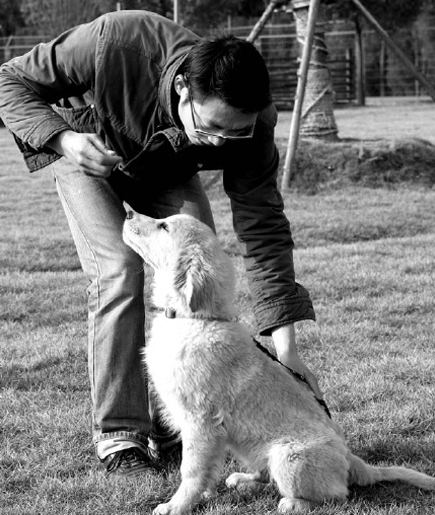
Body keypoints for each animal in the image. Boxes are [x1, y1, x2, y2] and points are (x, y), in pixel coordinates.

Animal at [122, 211, 435, 515]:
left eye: (163, 226)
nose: (127, 213)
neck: (196, 320)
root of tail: (353, 460)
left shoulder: (200, 420)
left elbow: (192, 469)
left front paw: (176, 506)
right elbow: (206, 469)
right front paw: (203, 495)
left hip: (288, 455)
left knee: (338, 497)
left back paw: (293, 503)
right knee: (268, 476)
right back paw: (245, 480)